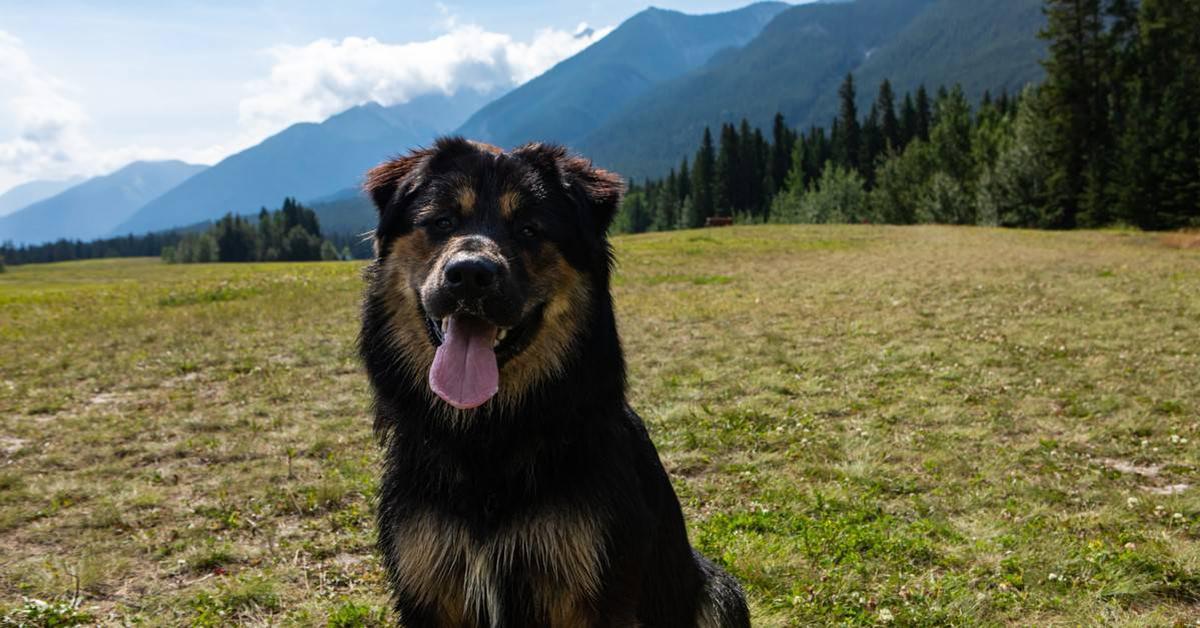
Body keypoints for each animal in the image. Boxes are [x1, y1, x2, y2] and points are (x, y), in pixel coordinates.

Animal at [357, 137, 748, 628]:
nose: (470, 275)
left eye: (529, 229)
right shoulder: (428, 587)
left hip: (719, 592)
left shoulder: (596, 589)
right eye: (442, 221)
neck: (489, 441)